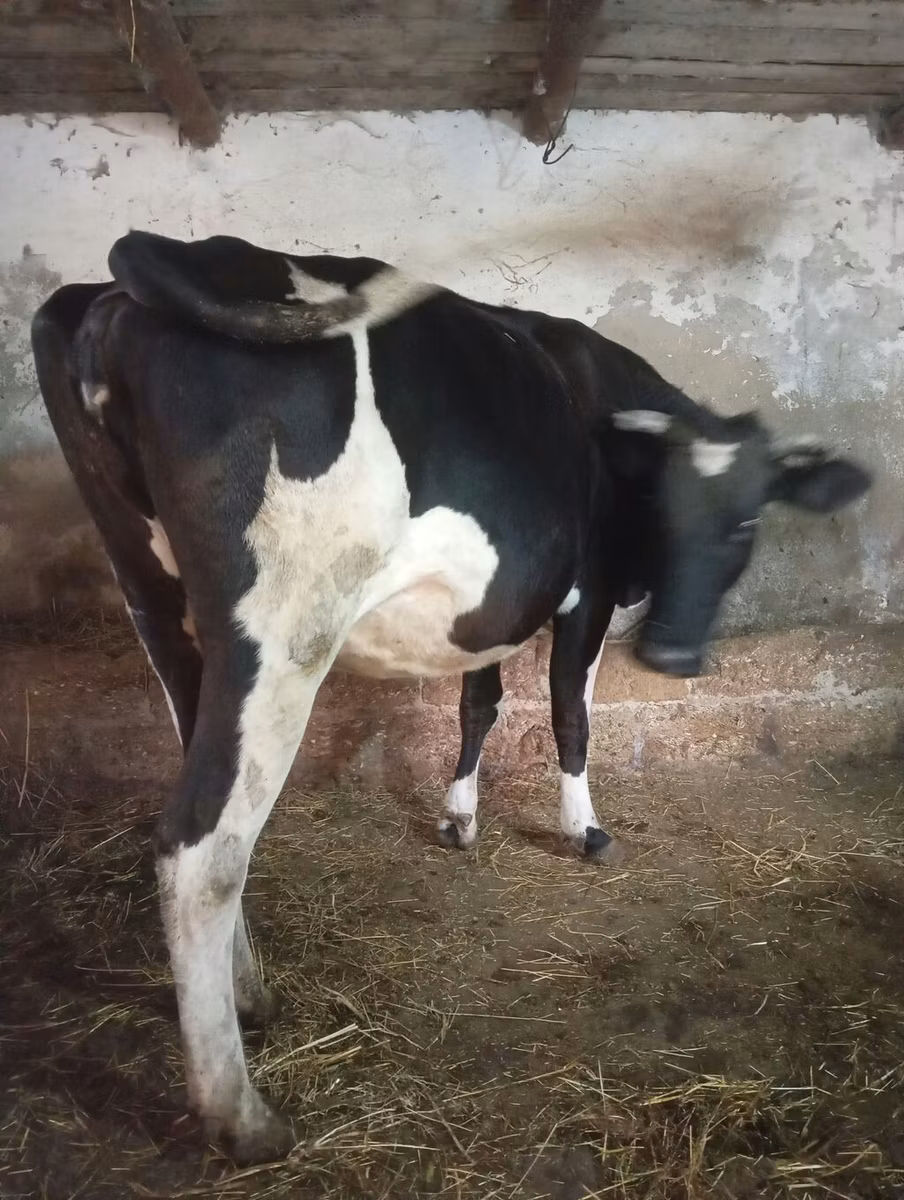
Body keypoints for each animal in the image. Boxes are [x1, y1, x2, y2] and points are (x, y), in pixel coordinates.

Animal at [31, 231, 871, 1162]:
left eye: (746, 520)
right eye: (659, 506)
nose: (674, 652)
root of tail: (178, 250)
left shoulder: (490, 608)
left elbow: (481, 702)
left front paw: (461, 817)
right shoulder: (587, 591)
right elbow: (570, 712)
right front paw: (585, 830)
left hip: (157, 604)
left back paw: (249, 995)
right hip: (283, 628)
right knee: (202, 849)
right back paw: (241, 1113)